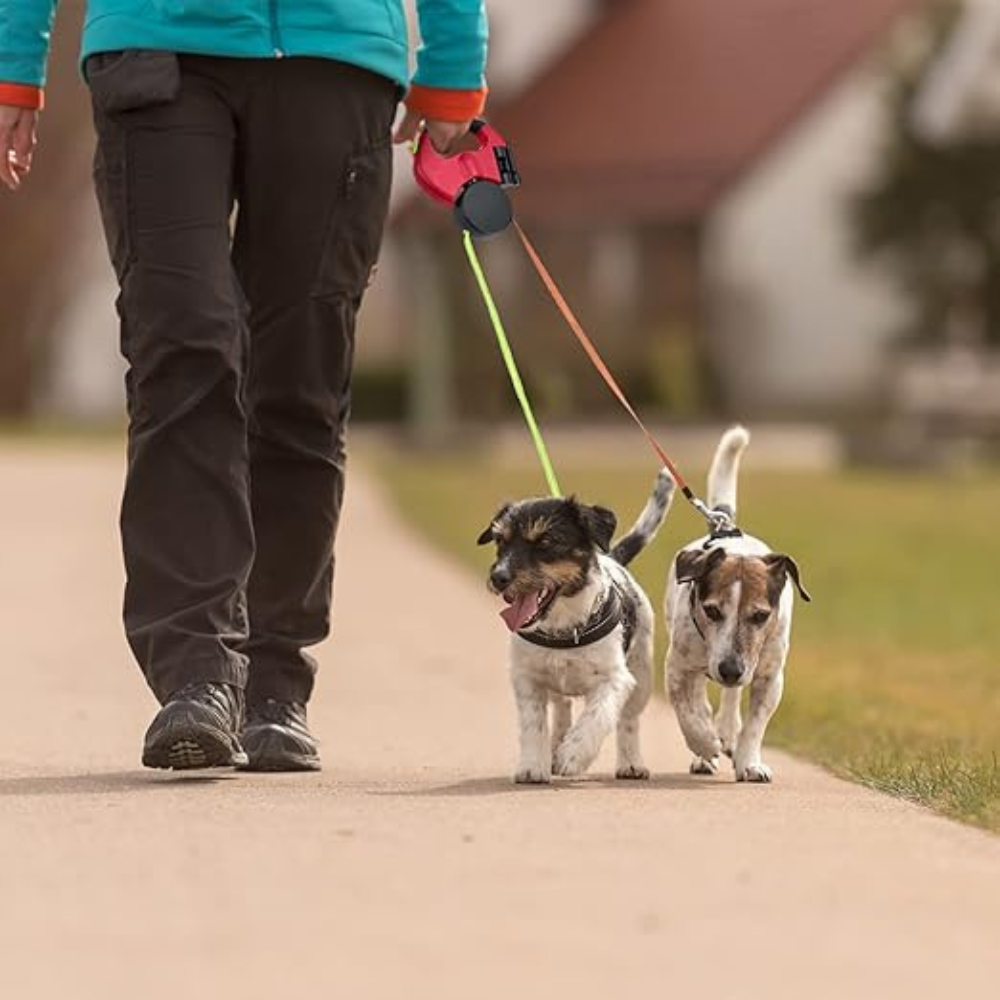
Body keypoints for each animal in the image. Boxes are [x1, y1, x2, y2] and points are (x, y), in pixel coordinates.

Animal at [480, 472, 676, 784]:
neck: (563, 627)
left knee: (628, 720)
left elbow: (597, 716)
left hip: (642, 675)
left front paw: (573, 755)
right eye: (501, 540)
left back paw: (631, 764)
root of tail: (614, 558)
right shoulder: (527, 678)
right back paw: (557, 742)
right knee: (562, 707)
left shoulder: (615, 678)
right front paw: (533, 766)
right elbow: (533, 724)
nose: (499, 577)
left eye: (546, 540)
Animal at [668, 426, 808, 784]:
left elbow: (756, 724)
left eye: (760, 616)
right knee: (699, 700)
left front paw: (749, 762)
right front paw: (705, 744)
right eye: (712, 611)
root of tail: (726, 528)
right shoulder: (676, 668)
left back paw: (728, 730)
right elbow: (687, 712)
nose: (730, 670)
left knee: (731, 699)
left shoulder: (769, 677)